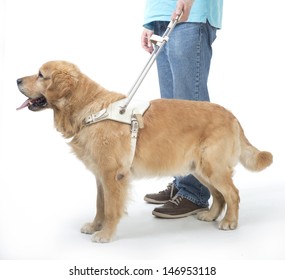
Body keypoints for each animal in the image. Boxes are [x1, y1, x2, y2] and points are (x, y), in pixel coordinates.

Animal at [16, 61, 272, 243]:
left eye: (41, 75)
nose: (17, 79)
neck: (90, 108)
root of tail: (231, 115)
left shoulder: (113, 175)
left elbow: (111, 209)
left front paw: (106, 234)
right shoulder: (100, 175)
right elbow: (100, 205)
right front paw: (95, 225)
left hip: (212, 167)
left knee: (233, 194)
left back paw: (229, 222)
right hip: (199, 168)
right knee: (219, 195)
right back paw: (210, 215)